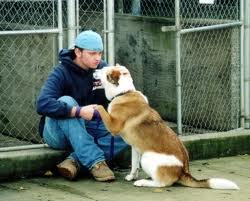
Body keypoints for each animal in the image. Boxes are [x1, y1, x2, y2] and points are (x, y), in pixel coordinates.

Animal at [94, 65, 239, 190]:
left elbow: (100, 107)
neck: (124, 92)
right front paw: (131, 176)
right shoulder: (135, 148)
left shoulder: (113, 126)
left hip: (147, 157)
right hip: (144, 155)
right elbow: (134, 165)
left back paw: (142, 182)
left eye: (103, 71)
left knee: (161, 184)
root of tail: (183, 171)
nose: (94, 70)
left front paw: (93, 107)